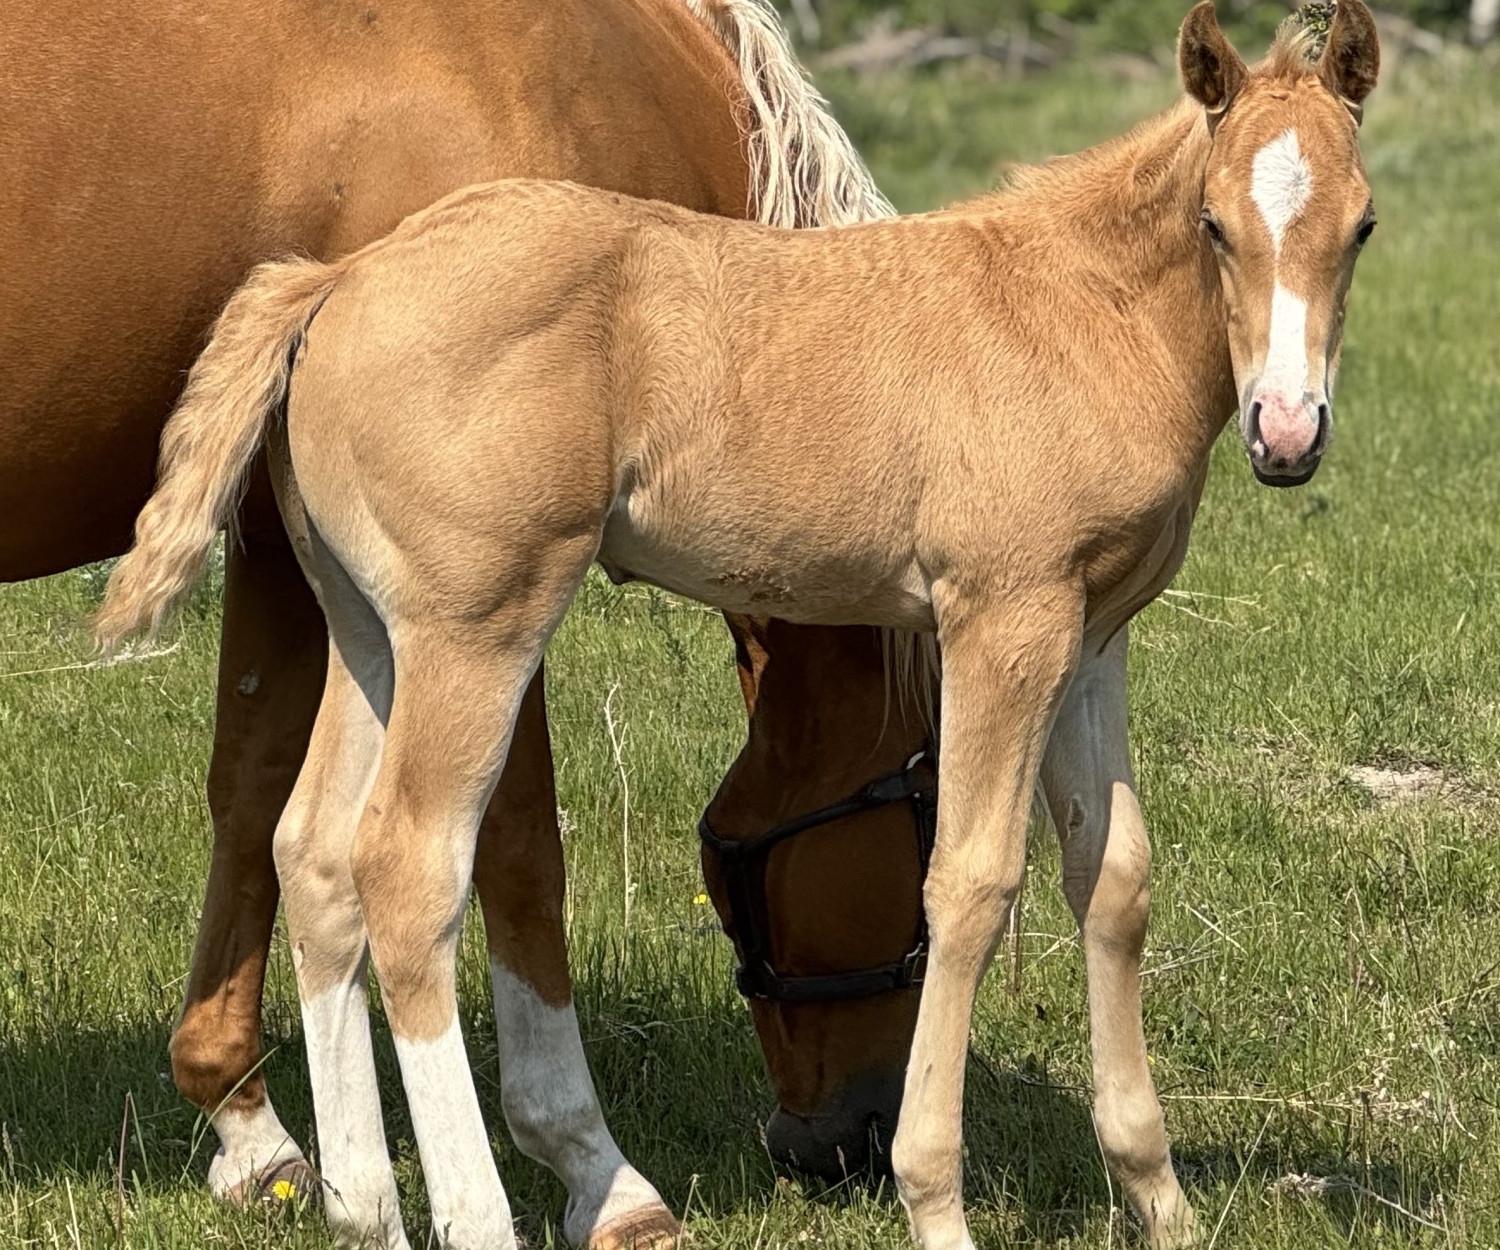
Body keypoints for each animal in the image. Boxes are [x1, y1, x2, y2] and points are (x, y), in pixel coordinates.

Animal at [0, 0, 935, 1230]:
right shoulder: (481, 594)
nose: (848, 1141)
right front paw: (592, 1170)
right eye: (924, 825)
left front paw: (252, 1126)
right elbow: (516, 848)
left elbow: (254, 797)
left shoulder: (287, 541)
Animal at [97, 0, 1380, 1246]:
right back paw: (478, 1213)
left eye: (1362, 226)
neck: (1078, 309)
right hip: (476, 630)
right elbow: (971, 885)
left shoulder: (1093, 633)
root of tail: (337, 278)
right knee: (405, 867)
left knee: (312, 851)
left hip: (370, 633)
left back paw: (365, 1205)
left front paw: (1160, 1200)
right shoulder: (1001, 622)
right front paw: (934, 1198)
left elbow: (1111, 876)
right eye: (1214, 224)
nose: (1285, 431)